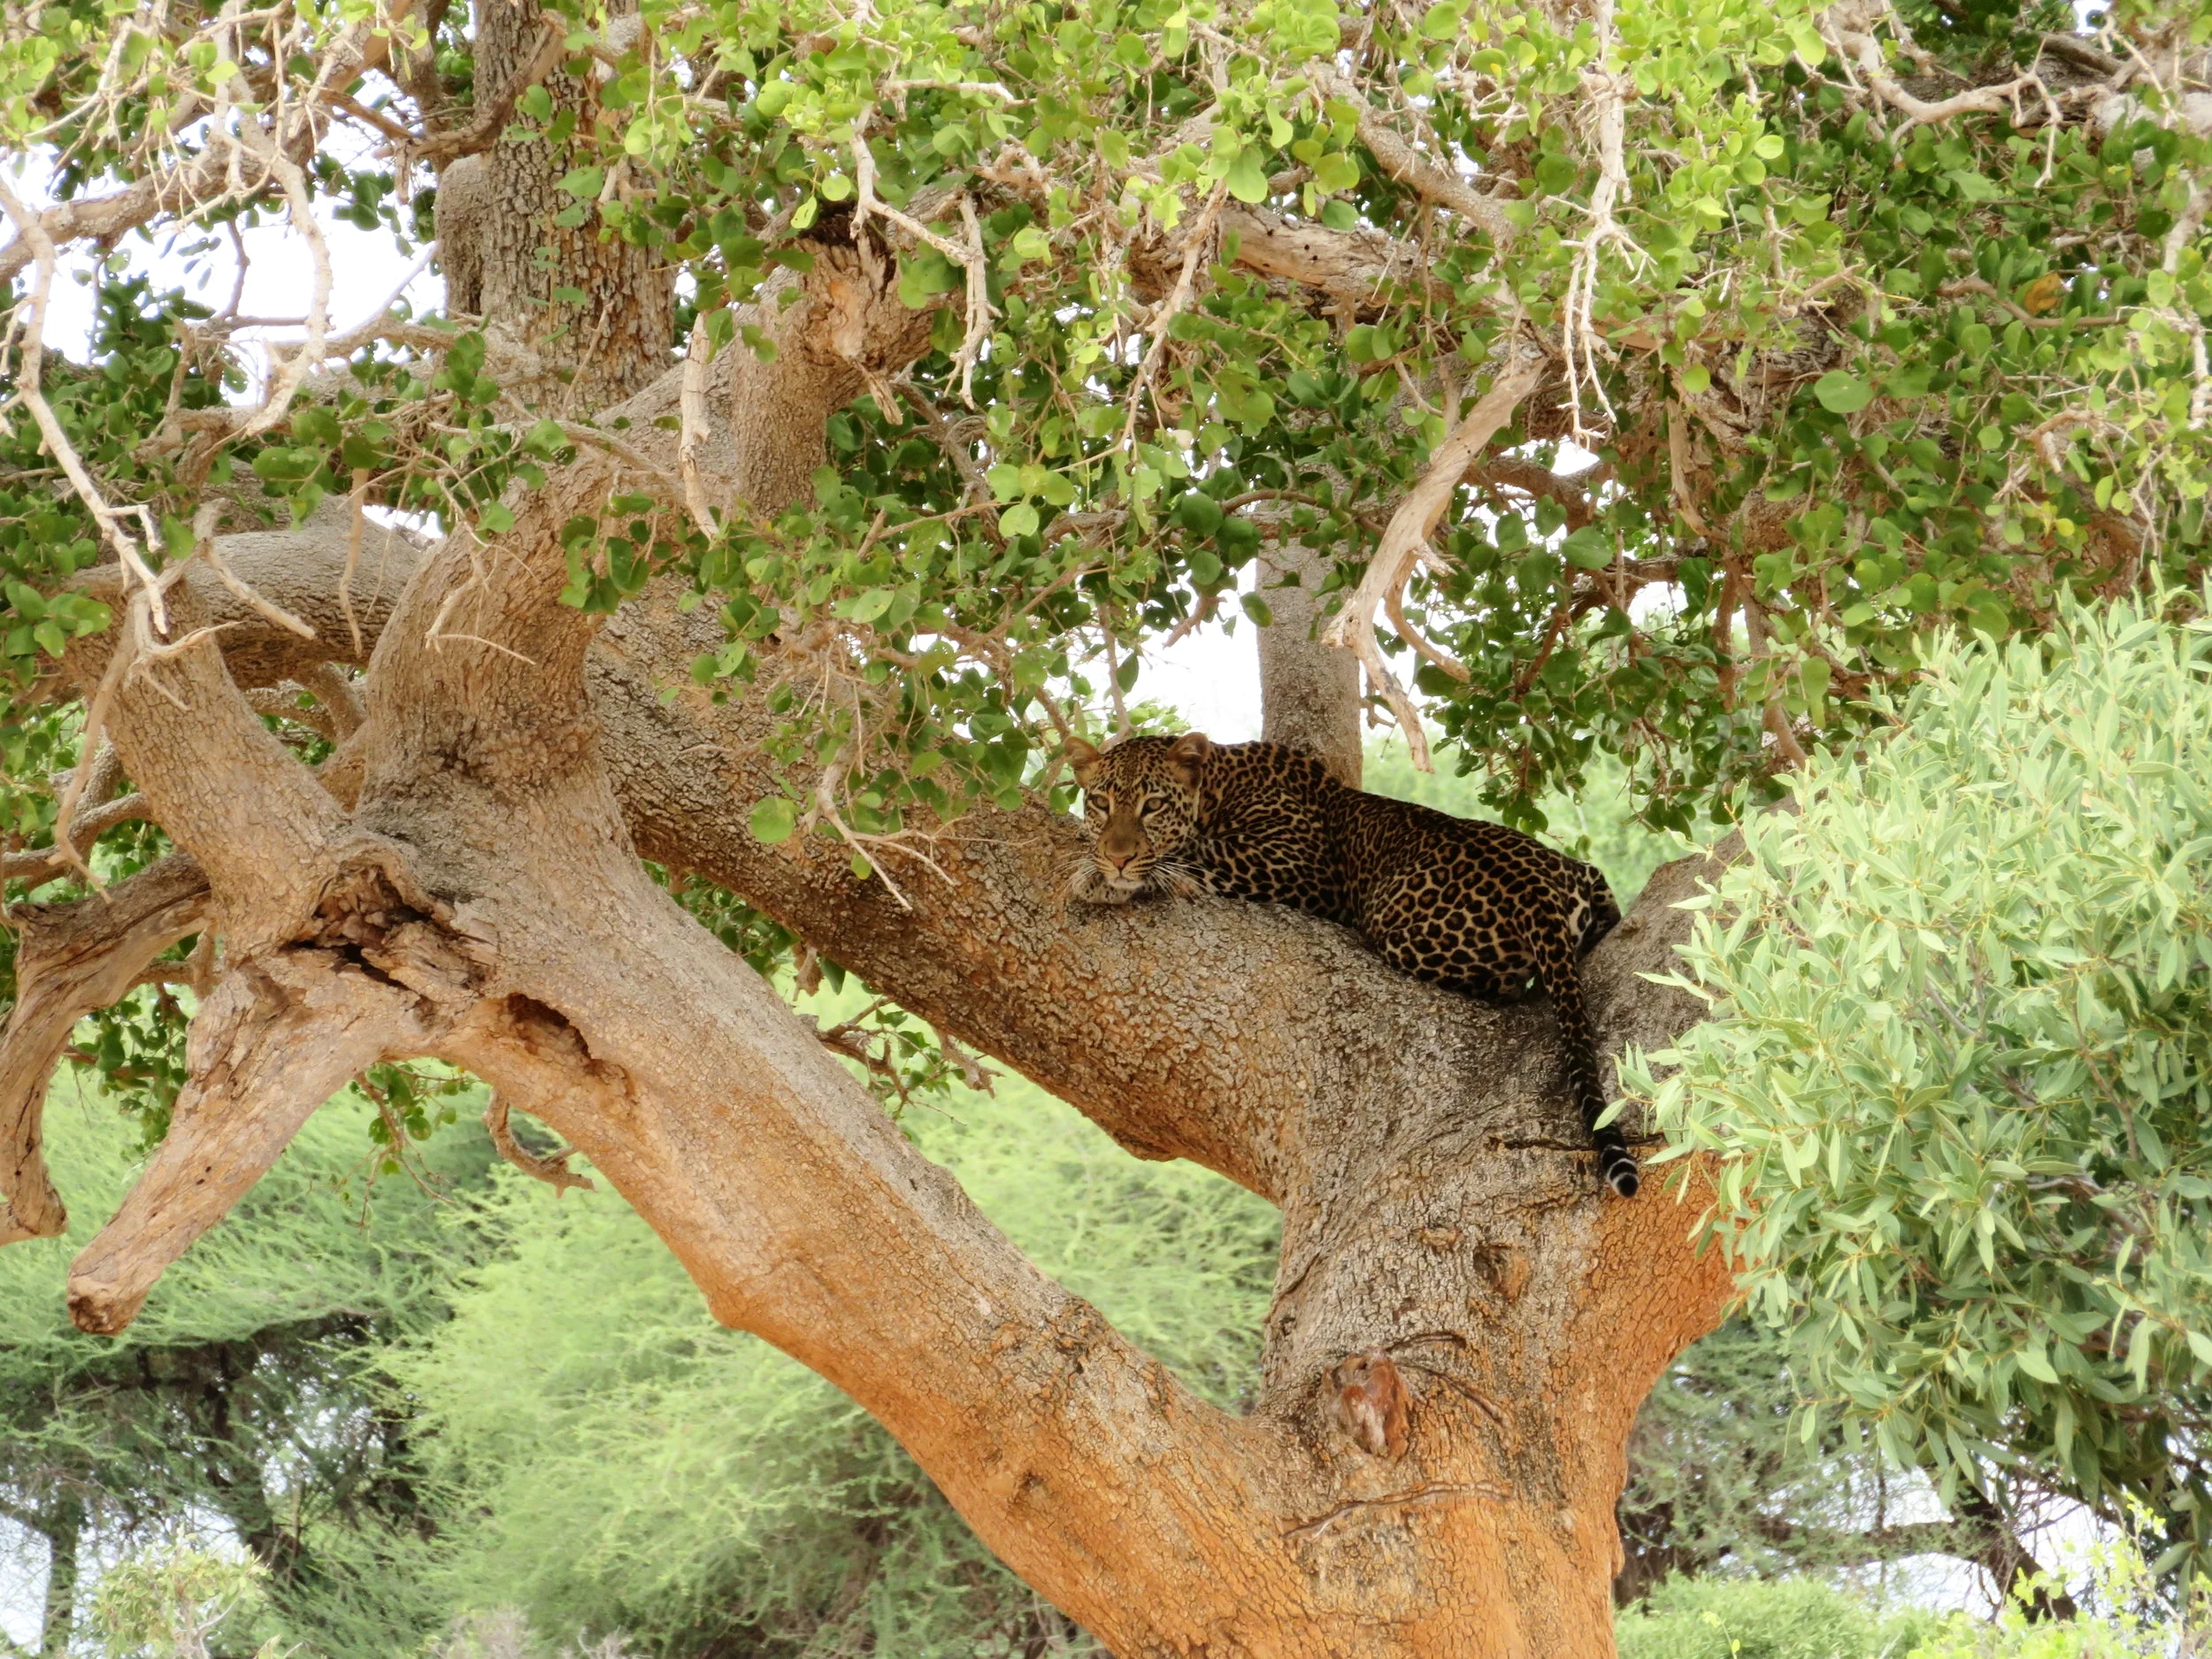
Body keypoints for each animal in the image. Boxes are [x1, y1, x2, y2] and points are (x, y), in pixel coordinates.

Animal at [1062, 731, 1638, 1197]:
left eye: (1153, 804)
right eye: (1101, 802)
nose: (1117, 856)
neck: (1221, 785)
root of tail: (1534, 889)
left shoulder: (1295, 864)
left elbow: (1192, 856)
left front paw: (1101, 878)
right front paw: (1101, 866)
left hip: (1394, 921)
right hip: (1590, 878)